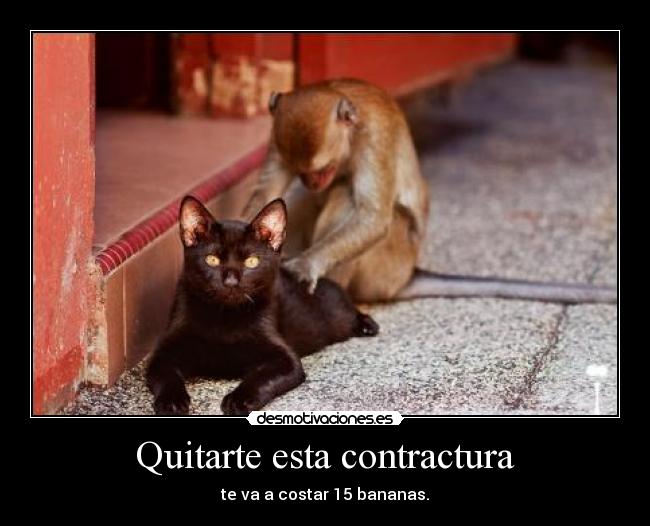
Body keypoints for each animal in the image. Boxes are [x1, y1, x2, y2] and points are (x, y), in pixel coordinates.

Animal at [242, 78, 616, 305]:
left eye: (321, 169)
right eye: (302, 172)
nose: (312, 182)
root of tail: (408, 275)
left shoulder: (374, 135)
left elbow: (373, 217)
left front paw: (306, 265)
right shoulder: (276, 139)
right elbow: (266, 192)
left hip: (387, 266)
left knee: (345, 197)